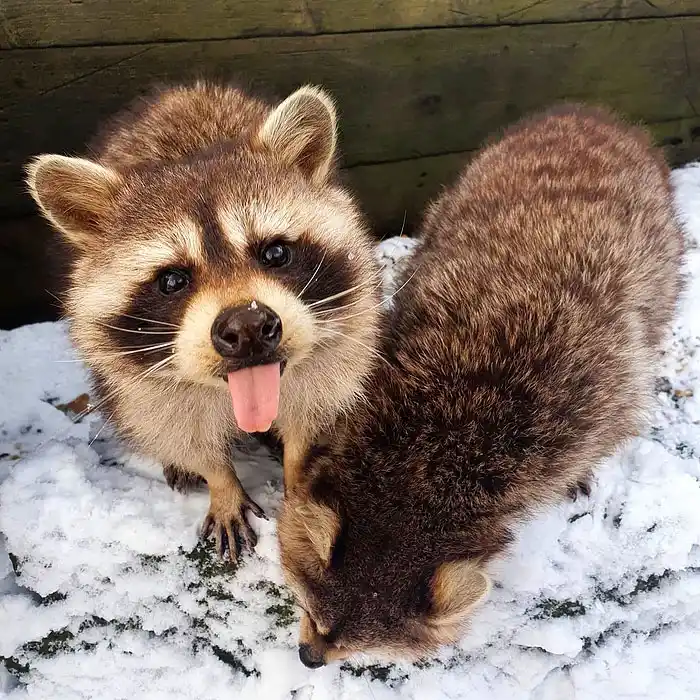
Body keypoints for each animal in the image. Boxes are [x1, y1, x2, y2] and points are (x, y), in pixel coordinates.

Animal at [26, 81, 381, 562]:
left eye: (275, 252)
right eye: (173, 280)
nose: (247, 327)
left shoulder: (345, 333)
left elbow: (311, 409)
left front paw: (296, 471)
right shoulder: (133, 374)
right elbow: (177, 427)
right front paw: (221, 482)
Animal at [278, 104, 684, 665]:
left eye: (355, 646)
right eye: (313, 612)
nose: (310, 658)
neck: (428, 466)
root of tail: (589, 114)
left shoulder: (593, 405)